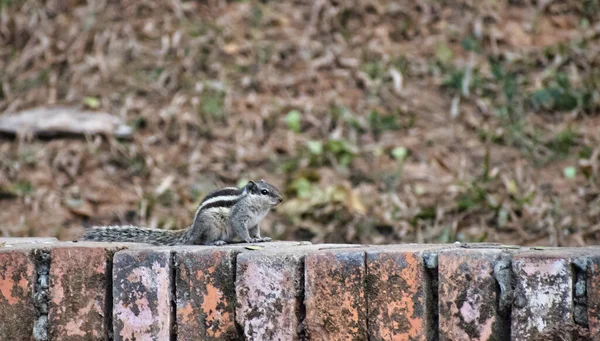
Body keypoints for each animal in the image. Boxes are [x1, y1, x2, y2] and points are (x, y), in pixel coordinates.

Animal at [79, 178, 284, 244]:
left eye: (272, 187)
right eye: (264, 192)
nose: (281, 199)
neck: (258, 207)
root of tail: (193, 230)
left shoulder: (255, 222)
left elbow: (256, 231)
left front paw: (260, 239)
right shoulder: (239, 217)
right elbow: (241, 229)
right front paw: (249, 240)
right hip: (213, 226)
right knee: (203, 241)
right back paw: (215, 242)